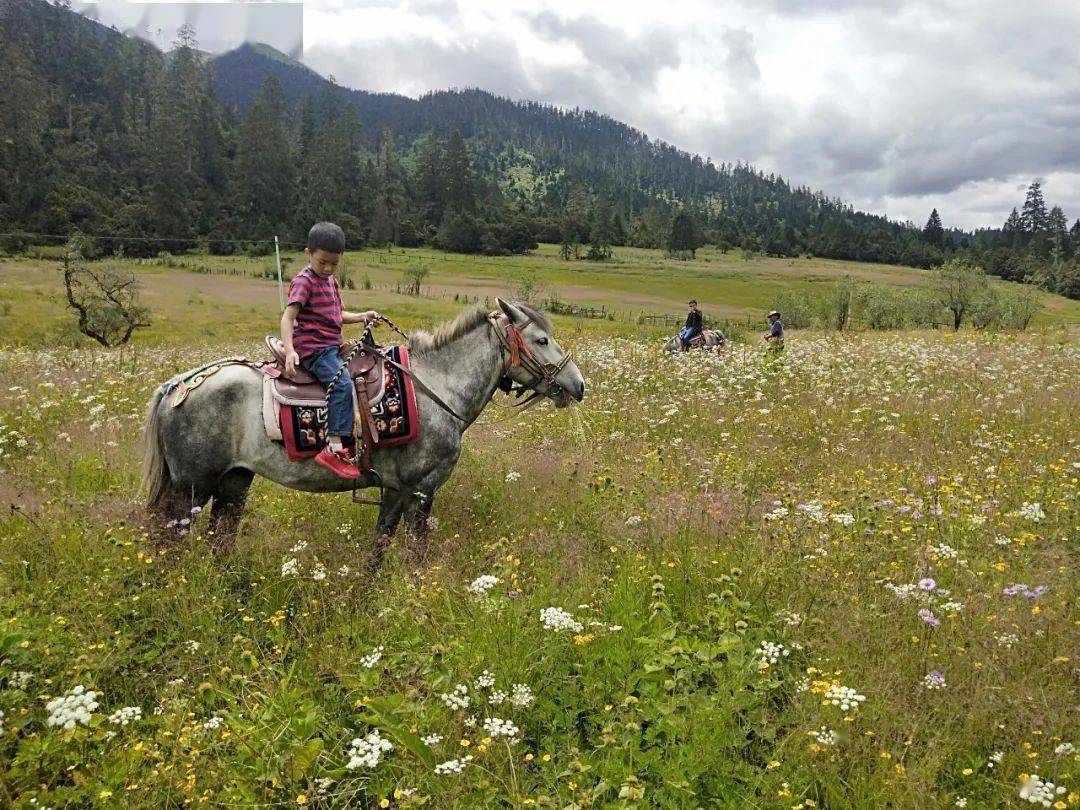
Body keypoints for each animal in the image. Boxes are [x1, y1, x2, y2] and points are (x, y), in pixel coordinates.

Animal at [141, 300, 591, 570]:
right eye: (541, 339)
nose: (579, 385)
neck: (434, 386)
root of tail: (177, 385)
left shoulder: (395, 490)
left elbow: (380, 547)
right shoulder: (419, 489)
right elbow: (412, 552)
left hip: (234, 480)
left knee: (221, 537)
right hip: (192, 487)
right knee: (173, 540)